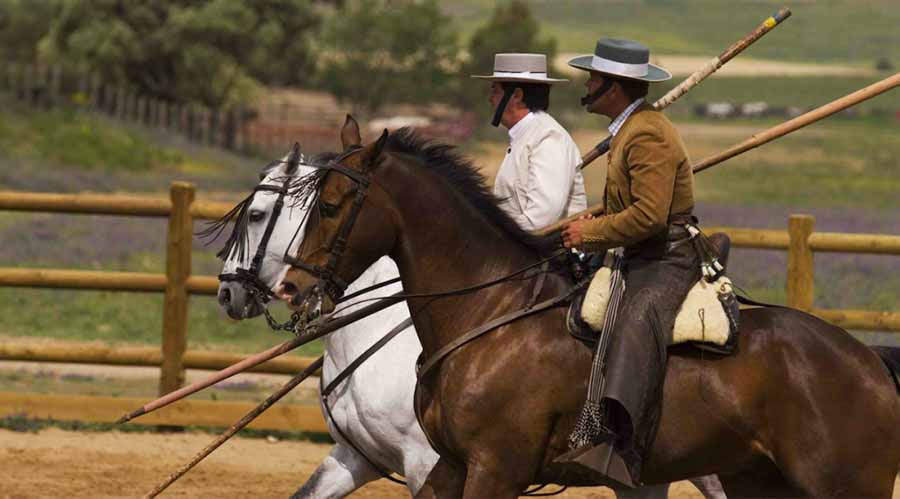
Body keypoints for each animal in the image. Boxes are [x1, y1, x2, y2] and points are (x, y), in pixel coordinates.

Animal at [278, 120, 896, 496]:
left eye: (329, 206)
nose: (289, 286)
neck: (488, 312)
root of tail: (867, 360)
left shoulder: (494, 468)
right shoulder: (448, 465)